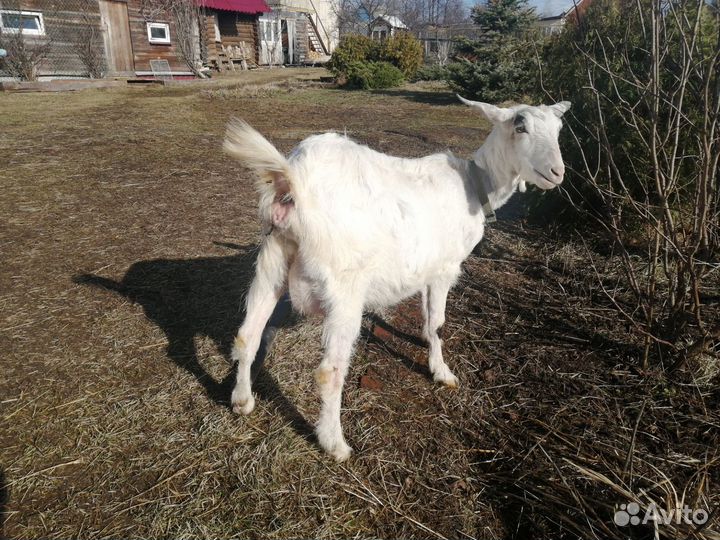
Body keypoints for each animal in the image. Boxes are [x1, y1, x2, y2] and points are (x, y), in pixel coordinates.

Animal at [223, 96, 571, 461]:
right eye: (520, 127)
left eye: (559, 128)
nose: (556, 173)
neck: (476, 186)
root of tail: (293, 179)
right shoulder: (445, 268)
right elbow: (439, 323)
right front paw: (441, 372)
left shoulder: (426, 269)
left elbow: (428, 319)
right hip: (343, 287)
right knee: (329, 371)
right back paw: (335, 443)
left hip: (272, 258)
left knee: (247, 335)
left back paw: (242, 401)